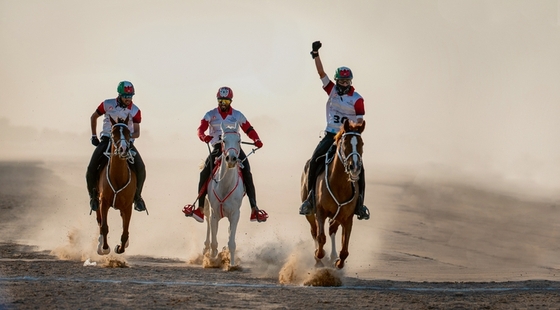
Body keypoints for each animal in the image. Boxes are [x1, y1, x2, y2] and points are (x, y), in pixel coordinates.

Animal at [95, 115, 136, 254]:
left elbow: (125, 229)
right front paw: (105, 248)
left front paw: (120, 247)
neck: (118, 177)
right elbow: (104, 226)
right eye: (113, 133)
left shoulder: (128, 206)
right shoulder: (104, 202)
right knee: (99, 219)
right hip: (97, 199)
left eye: (129, 133)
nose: (124, 149)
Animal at [203, 122, 243, 268]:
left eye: (239, 140)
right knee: (207, 222)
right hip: (207, 207)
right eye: (224, 140)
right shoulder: (215, 213)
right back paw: (206, 250)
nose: (231, 159)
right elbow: (214, 242)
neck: (225, 186)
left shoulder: (235, 214)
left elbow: (231, 242)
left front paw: (232, 265)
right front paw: (212, 260)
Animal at [300, 118, 366, 268]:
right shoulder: (320, 212)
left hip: (337, 215)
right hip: (310, 214)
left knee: (332, 229)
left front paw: (337, 262)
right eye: (345, 142)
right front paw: (318, 257)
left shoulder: (347, 218)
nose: (355, 168)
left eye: (362, 143)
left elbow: (344, 250)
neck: (339, 184)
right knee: (314, 231)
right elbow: (321, 238)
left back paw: (333, 256)